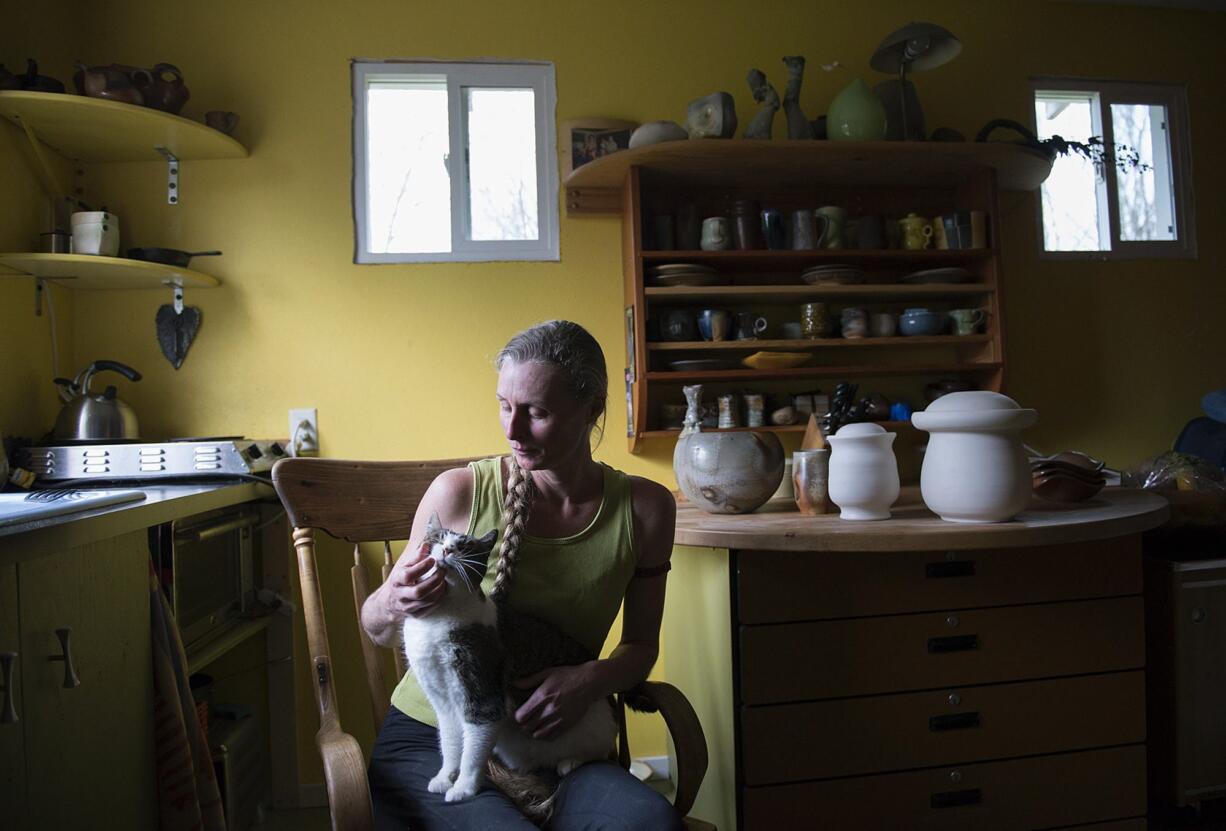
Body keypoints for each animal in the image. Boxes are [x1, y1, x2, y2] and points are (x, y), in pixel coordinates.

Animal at [399, 514, 613, 808]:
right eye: (439, 538)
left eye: (465, 546)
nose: (447, 550)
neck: (437, 618)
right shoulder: (442, 700)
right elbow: (450, 743)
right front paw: (444, 778)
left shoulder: (484, 696)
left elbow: (472, 752)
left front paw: (463, 788)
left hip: (595, 723)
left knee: (601, 749)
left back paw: (570, 761)